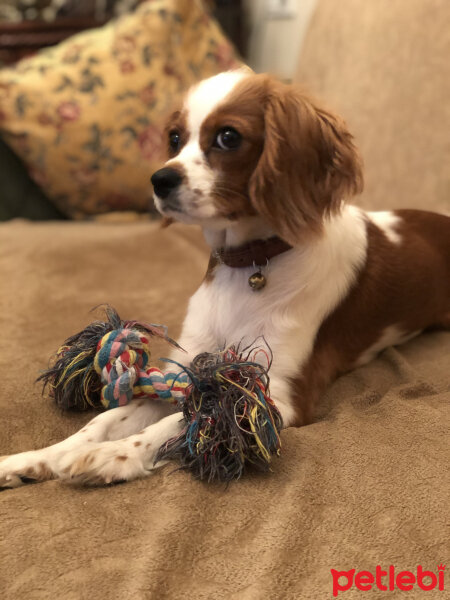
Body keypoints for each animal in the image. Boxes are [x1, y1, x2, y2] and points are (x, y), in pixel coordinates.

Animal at [0, 69, 450, 488]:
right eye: (175, 138)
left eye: (228, 137)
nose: (159, 180)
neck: (250, 266)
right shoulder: (190, 367)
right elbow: (108, 419)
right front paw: (39, 457)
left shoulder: (276, 390)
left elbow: (186, 419)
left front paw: (115, 455)